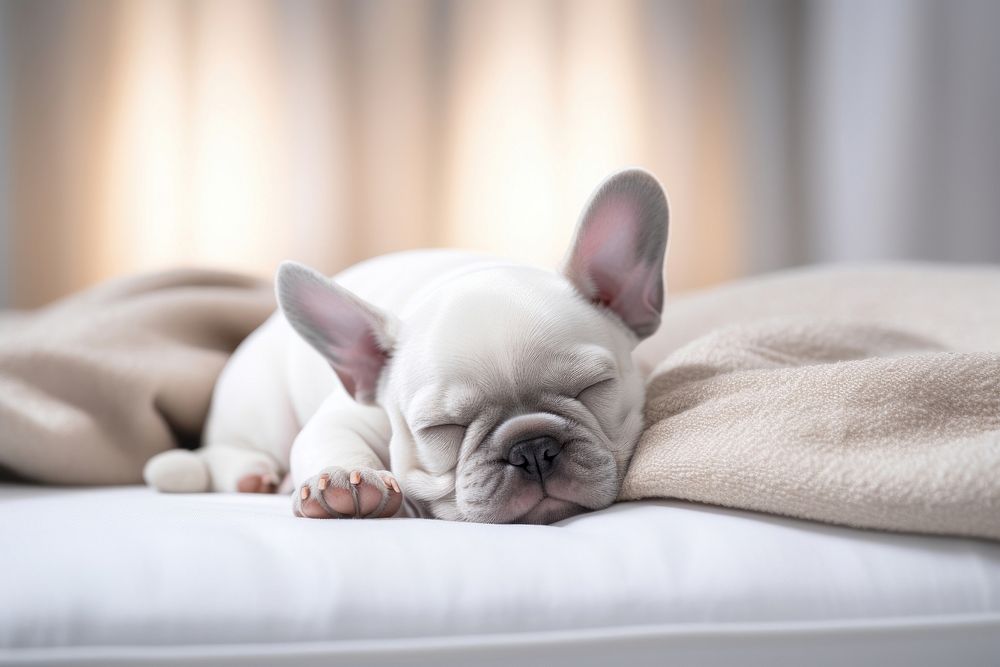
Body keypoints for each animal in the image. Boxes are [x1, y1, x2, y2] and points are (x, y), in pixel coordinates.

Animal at [141, 170, 668, 524]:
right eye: (440, 429)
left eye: (593, 387)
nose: (532, 449)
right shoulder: (350, 413)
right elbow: (328, 438)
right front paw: (343, 479)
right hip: (259, 410)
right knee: (222, 449)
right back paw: (250, 473)